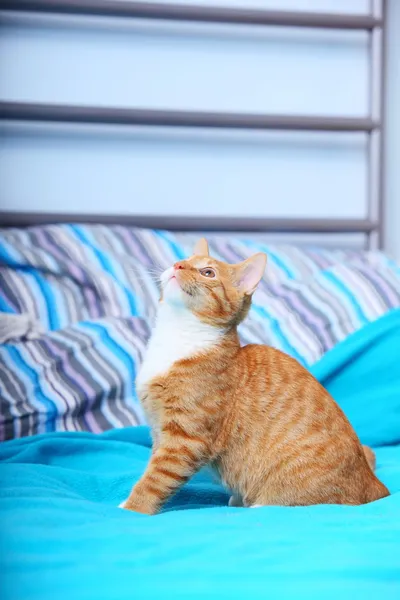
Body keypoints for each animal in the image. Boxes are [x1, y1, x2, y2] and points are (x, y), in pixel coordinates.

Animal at [120, 239, 390, 516]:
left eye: (208, 272)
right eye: (182, 259)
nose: (177, 265)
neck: (177, 336)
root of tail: (374, 484)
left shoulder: (185, 440)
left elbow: (156, 478)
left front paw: (132, 508)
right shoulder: (160, 433)